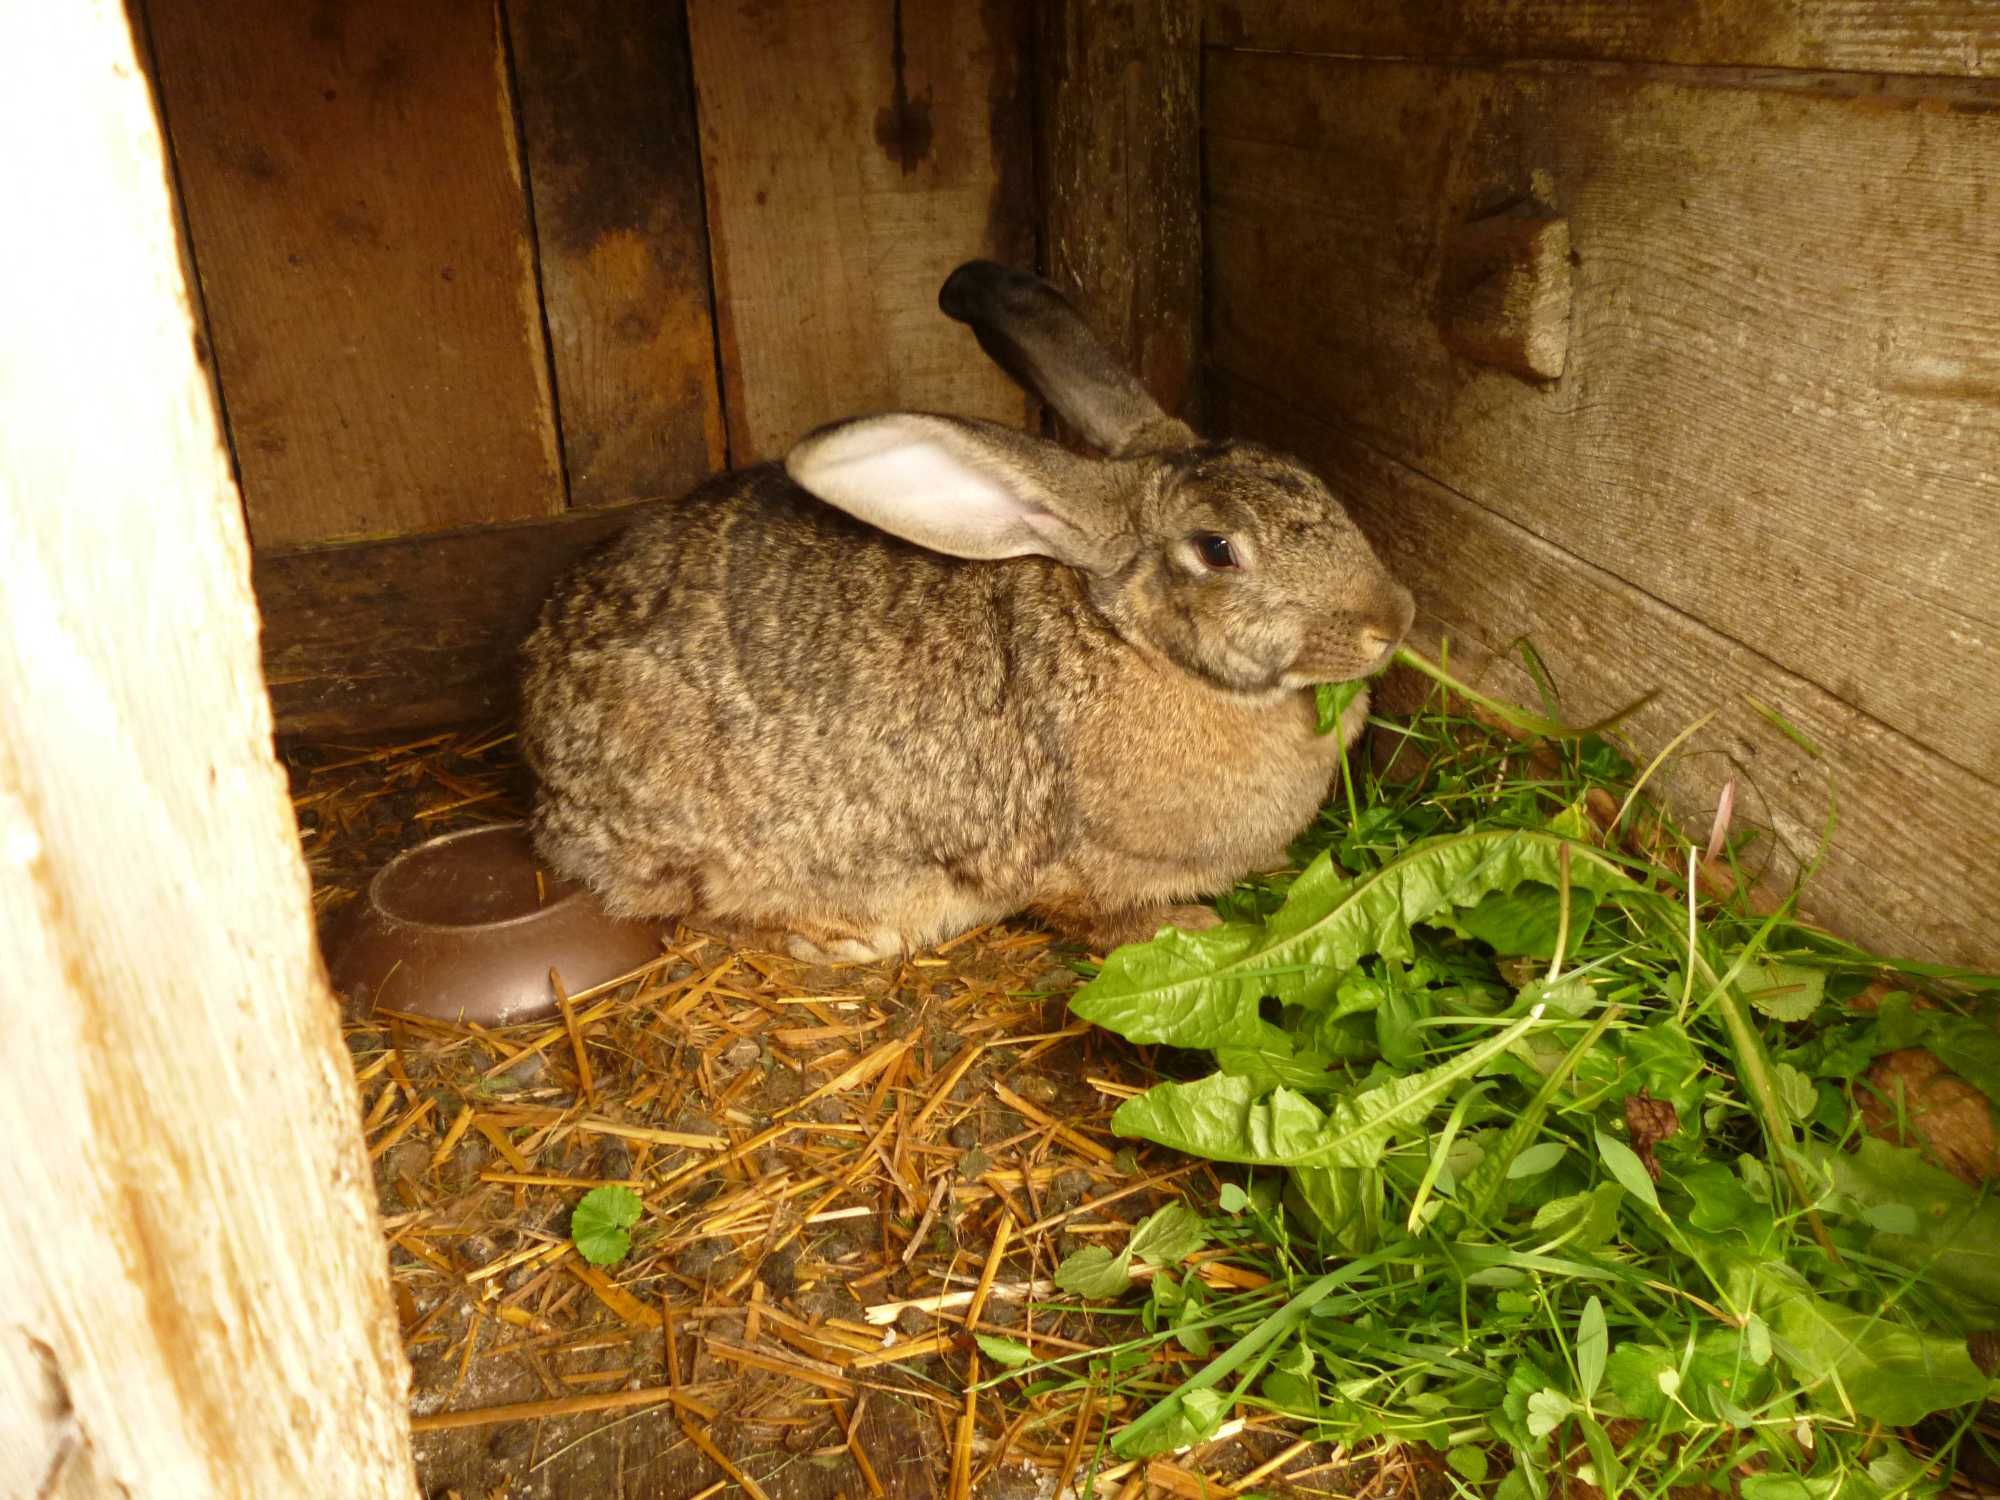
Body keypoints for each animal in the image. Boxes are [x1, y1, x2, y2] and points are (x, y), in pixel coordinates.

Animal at [524, 262, 1416, 964]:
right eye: (1217, 549)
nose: (1394, 620)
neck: (1127, 637)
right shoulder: (1072, 864)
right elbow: (1090, 912)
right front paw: (1190, 927)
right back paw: (839, 939)